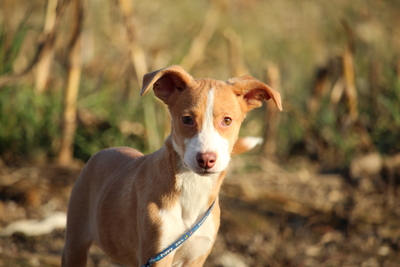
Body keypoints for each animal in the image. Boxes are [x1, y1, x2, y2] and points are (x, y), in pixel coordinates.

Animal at [61, 65, 282, 267]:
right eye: (187, 119)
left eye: (227, 120)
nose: (206, 159)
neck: (192, 189)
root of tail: (105, 151)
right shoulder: (157, 255)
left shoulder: (196, 258)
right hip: (75, 242)